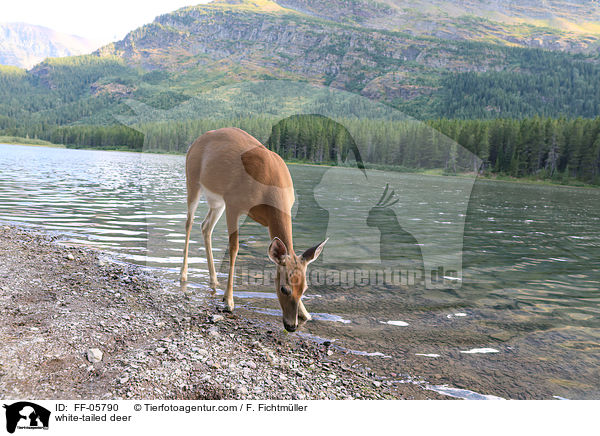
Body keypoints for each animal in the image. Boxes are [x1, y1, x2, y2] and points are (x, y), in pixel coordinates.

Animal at [180, 127, 328, 332]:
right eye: (283, 288)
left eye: (304, 288)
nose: (291, 326)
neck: (271, 190)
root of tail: (195, 142)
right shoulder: (234, 203)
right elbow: (234, 248)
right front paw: (229, 301)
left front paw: (306, 313)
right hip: (193, 180)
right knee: (189, 222)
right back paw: (184, 274)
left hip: (217, 201)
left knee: (205, 226)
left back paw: (214, 280)